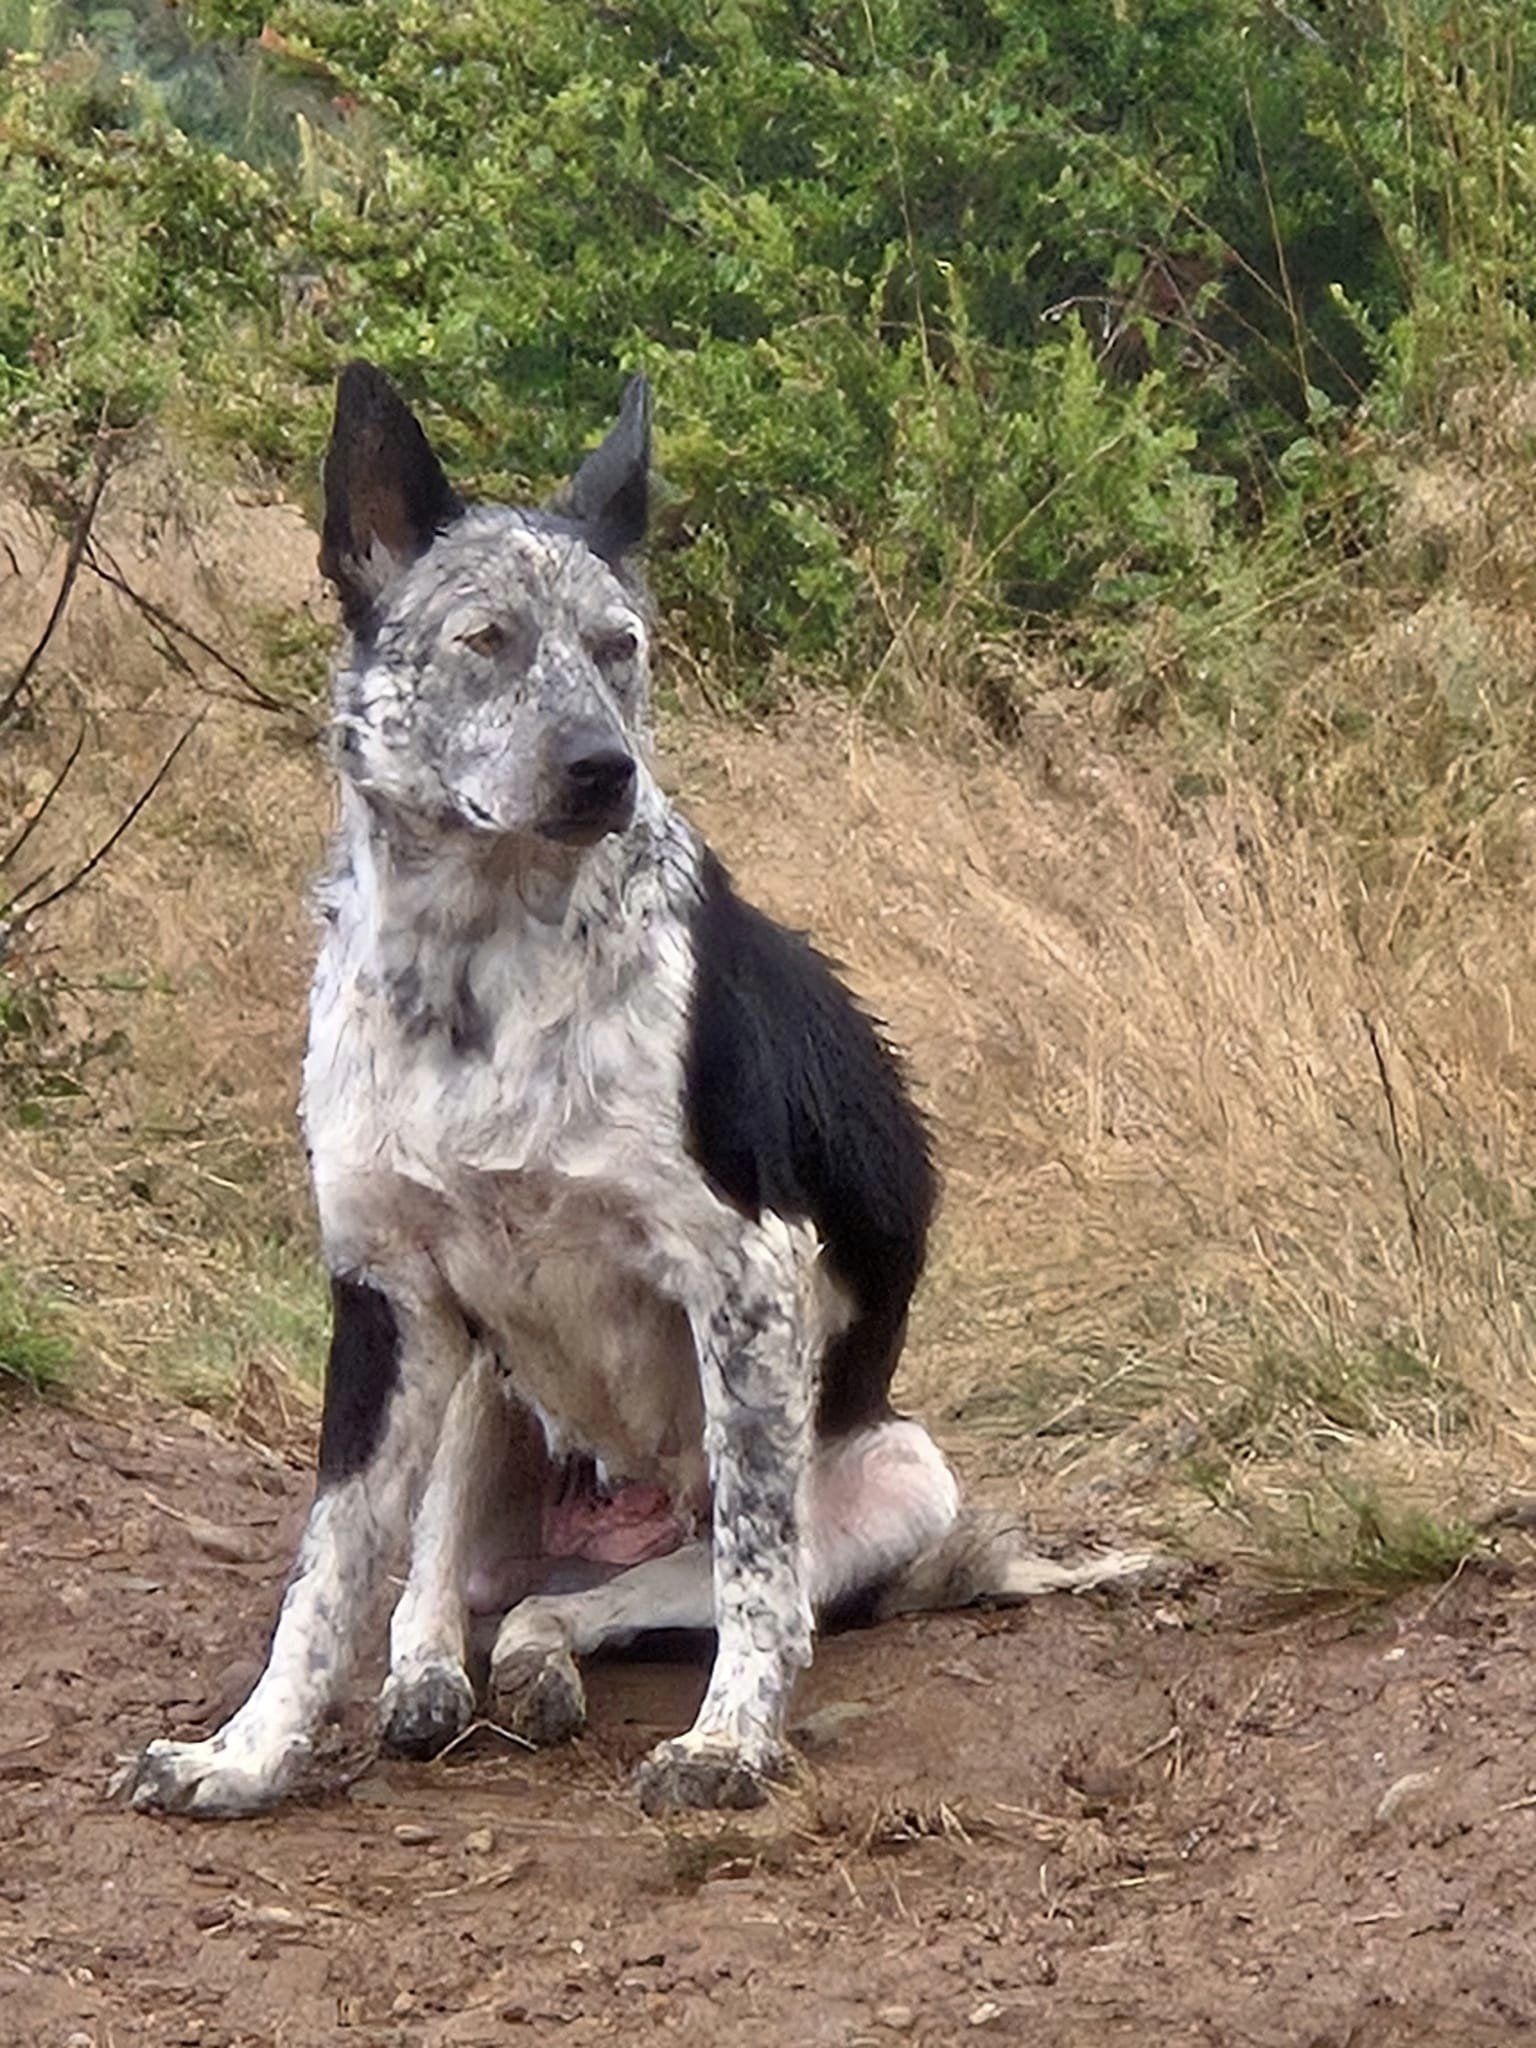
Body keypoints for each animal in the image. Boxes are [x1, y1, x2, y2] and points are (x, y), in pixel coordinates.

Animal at [129, 368, 1146, 1826]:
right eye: (487, 639)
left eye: (620, 647)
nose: (601, 769)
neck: (483, 971)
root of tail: (611, 1514)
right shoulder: (386, 1297)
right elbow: (325, 1572)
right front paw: (249, 1752)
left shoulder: (749, 1276)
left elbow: (762, 1578)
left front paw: (732, 1743)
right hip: (472, 1374)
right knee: (456, 1587)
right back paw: (433, 1677)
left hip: (892, 1476)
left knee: (614, 1604)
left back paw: (544, 1670)